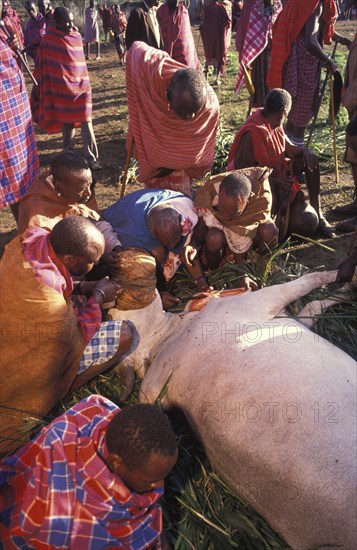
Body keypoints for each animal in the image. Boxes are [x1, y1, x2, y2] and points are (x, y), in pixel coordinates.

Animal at [108, 270, 356, 548]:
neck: (169, 337)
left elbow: (313, 306)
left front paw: (344, 290)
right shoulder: (259, 301)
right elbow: (308, 282)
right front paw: (344, 277)